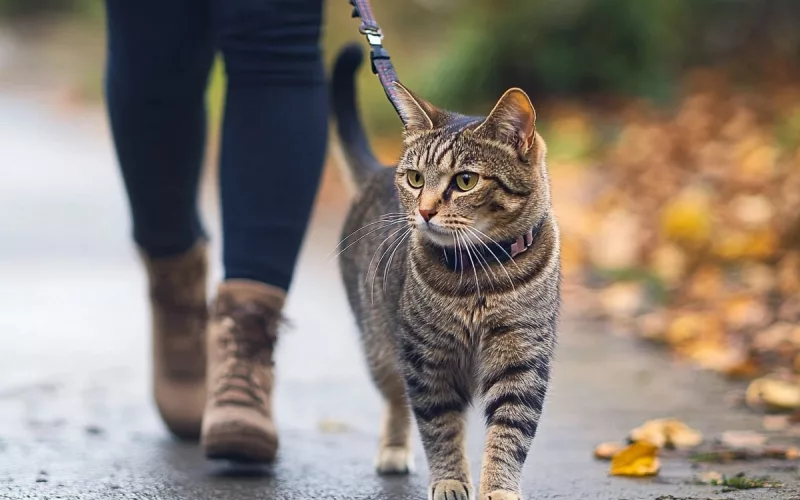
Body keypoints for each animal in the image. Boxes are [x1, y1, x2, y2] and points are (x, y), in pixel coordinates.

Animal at [328, 44, 560, 500]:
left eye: (466, 181)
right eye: (416, 178)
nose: (424, 210)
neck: (481, 272)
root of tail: (378, 170)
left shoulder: (522, 357)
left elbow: (509, 433)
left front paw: (499, 488)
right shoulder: (427, 360)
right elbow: (439, 428)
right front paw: (451, 481)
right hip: (381, 348)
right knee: (396, 399)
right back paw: (394, 449)